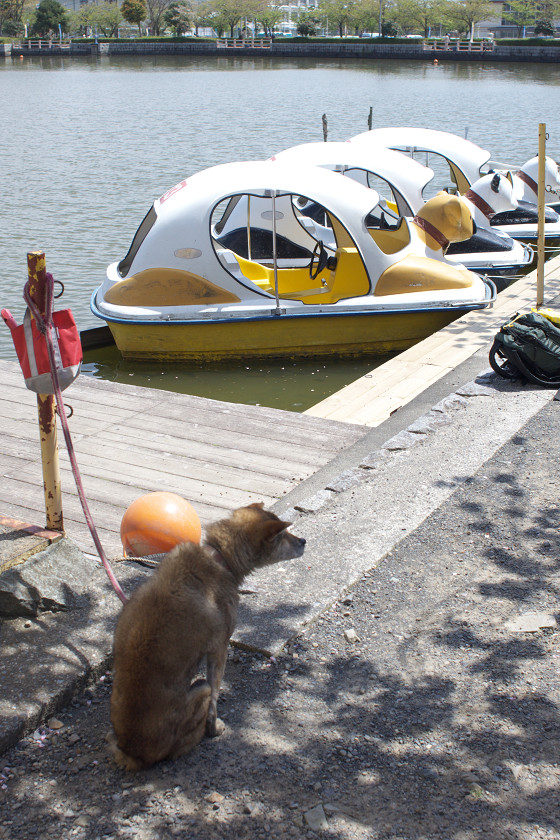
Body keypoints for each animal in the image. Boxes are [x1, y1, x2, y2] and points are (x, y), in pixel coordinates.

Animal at [109, 502, 306, 772]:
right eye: (282, 535)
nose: (304, 541)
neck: (218, 558)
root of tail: (133, 753)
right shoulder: (219, 649)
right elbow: (215, 697)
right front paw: (215, 728)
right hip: (199, 688)